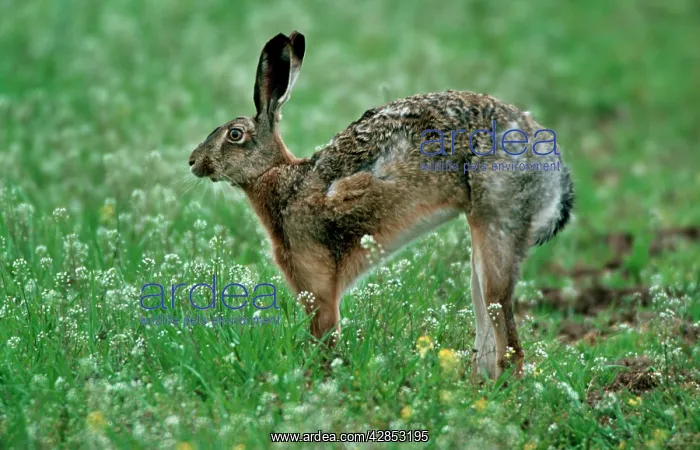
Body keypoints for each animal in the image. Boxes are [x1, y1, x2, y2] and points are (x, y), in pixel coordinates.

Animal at [188, 31, 574, 379]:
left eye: (234, 134)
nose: (193, 162)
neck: (279, 176)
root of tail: (554, 167)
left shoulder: (316, 284)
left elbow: (324, 335)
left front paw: (319, 377)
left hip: (498, 220)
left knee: (506, 329)